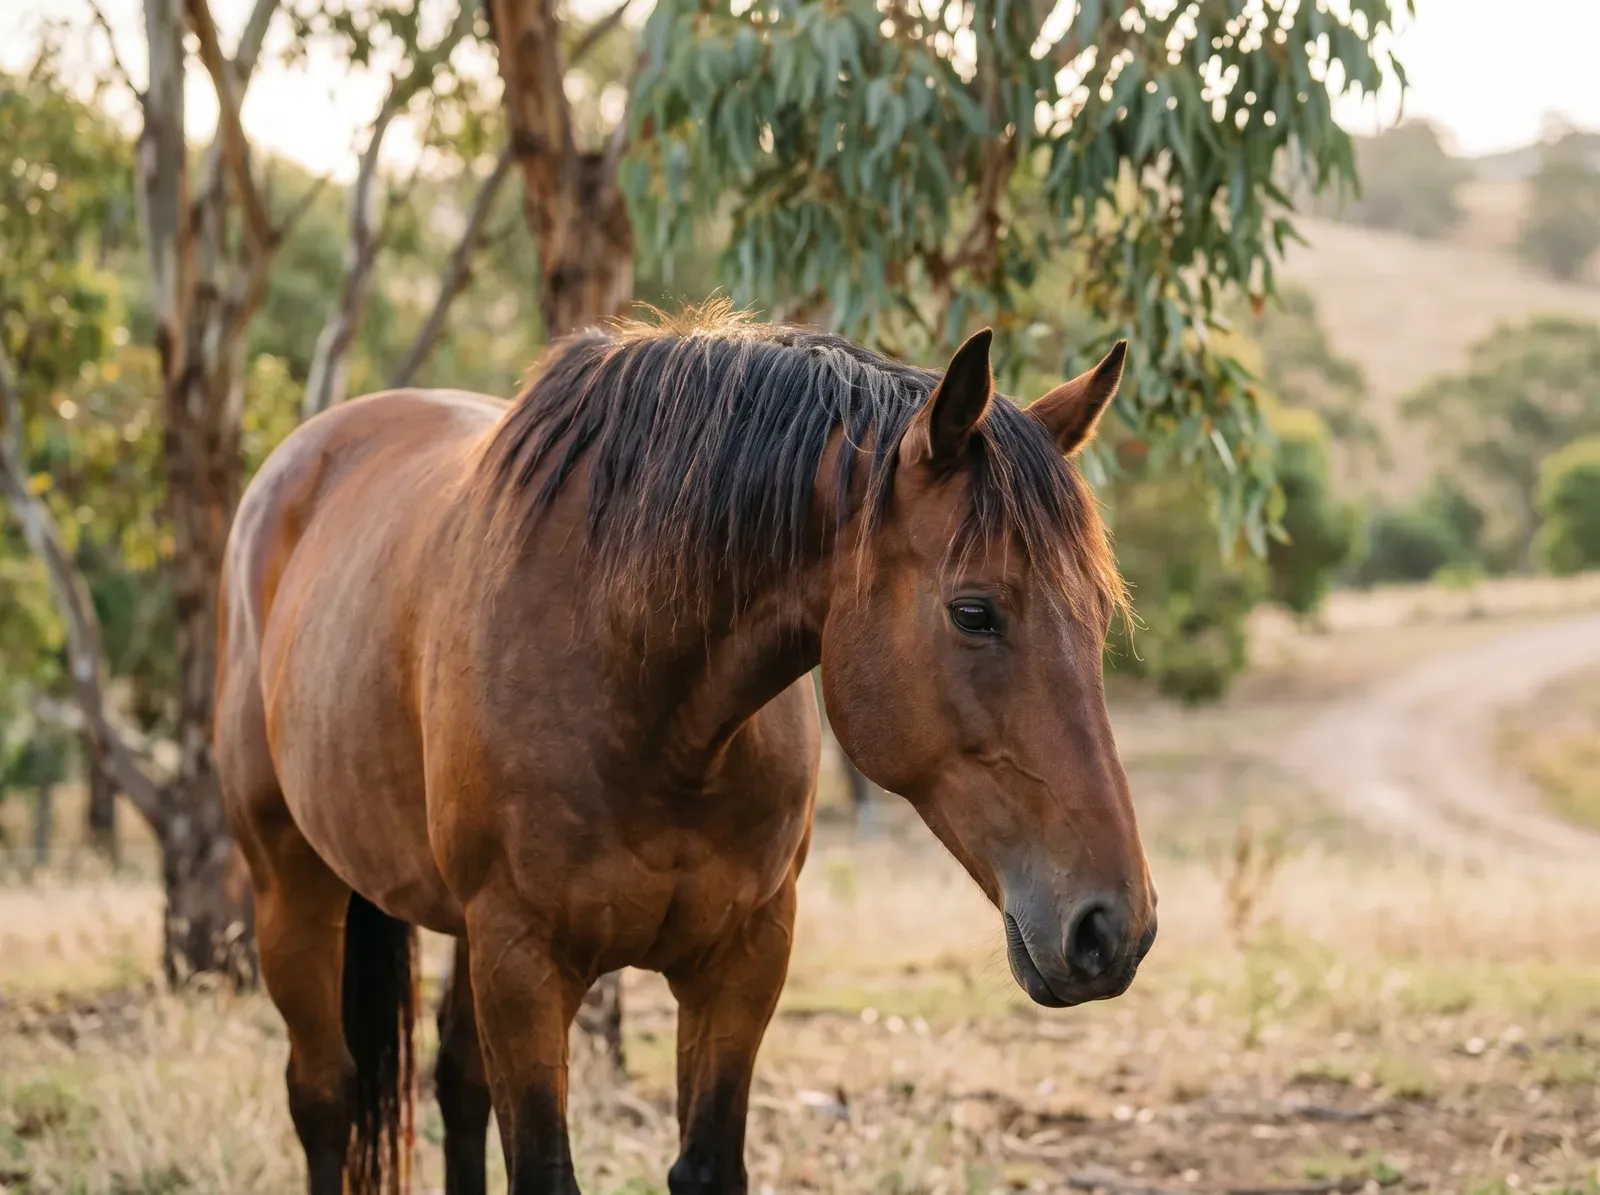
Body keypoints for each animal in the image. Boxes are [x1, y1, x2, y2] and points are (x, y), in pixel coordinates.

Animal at [214, 305, 1157, 1195]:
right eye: (973, 612)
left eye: (1096, 612)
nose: (1114, 927)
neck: (652, 706)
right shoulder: (523, 961)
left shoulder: (743, 956)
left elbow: (705, 1163)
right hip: (294, 888)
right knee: (326, 1096)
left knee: (457, 1085)